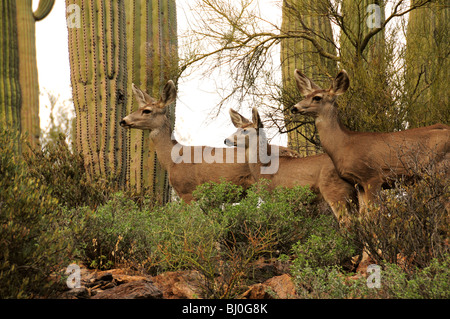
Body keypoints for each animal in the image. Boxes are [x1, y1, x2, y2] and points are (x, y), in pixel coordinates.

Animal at [225, 107, 358, 228]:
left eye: (245, 131)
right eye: (237, 129)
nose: (226, 140)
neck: (263, 168)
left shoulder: (276, 197)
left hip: (335, 190)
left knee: (347, 222)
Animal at [290, 69, 448, 210]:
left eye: (317, 97)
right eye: (305, 95)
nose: (294, 108)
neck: (344, 144)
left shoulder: (372, 176)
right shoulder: (358, 184)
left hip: (439, 167)